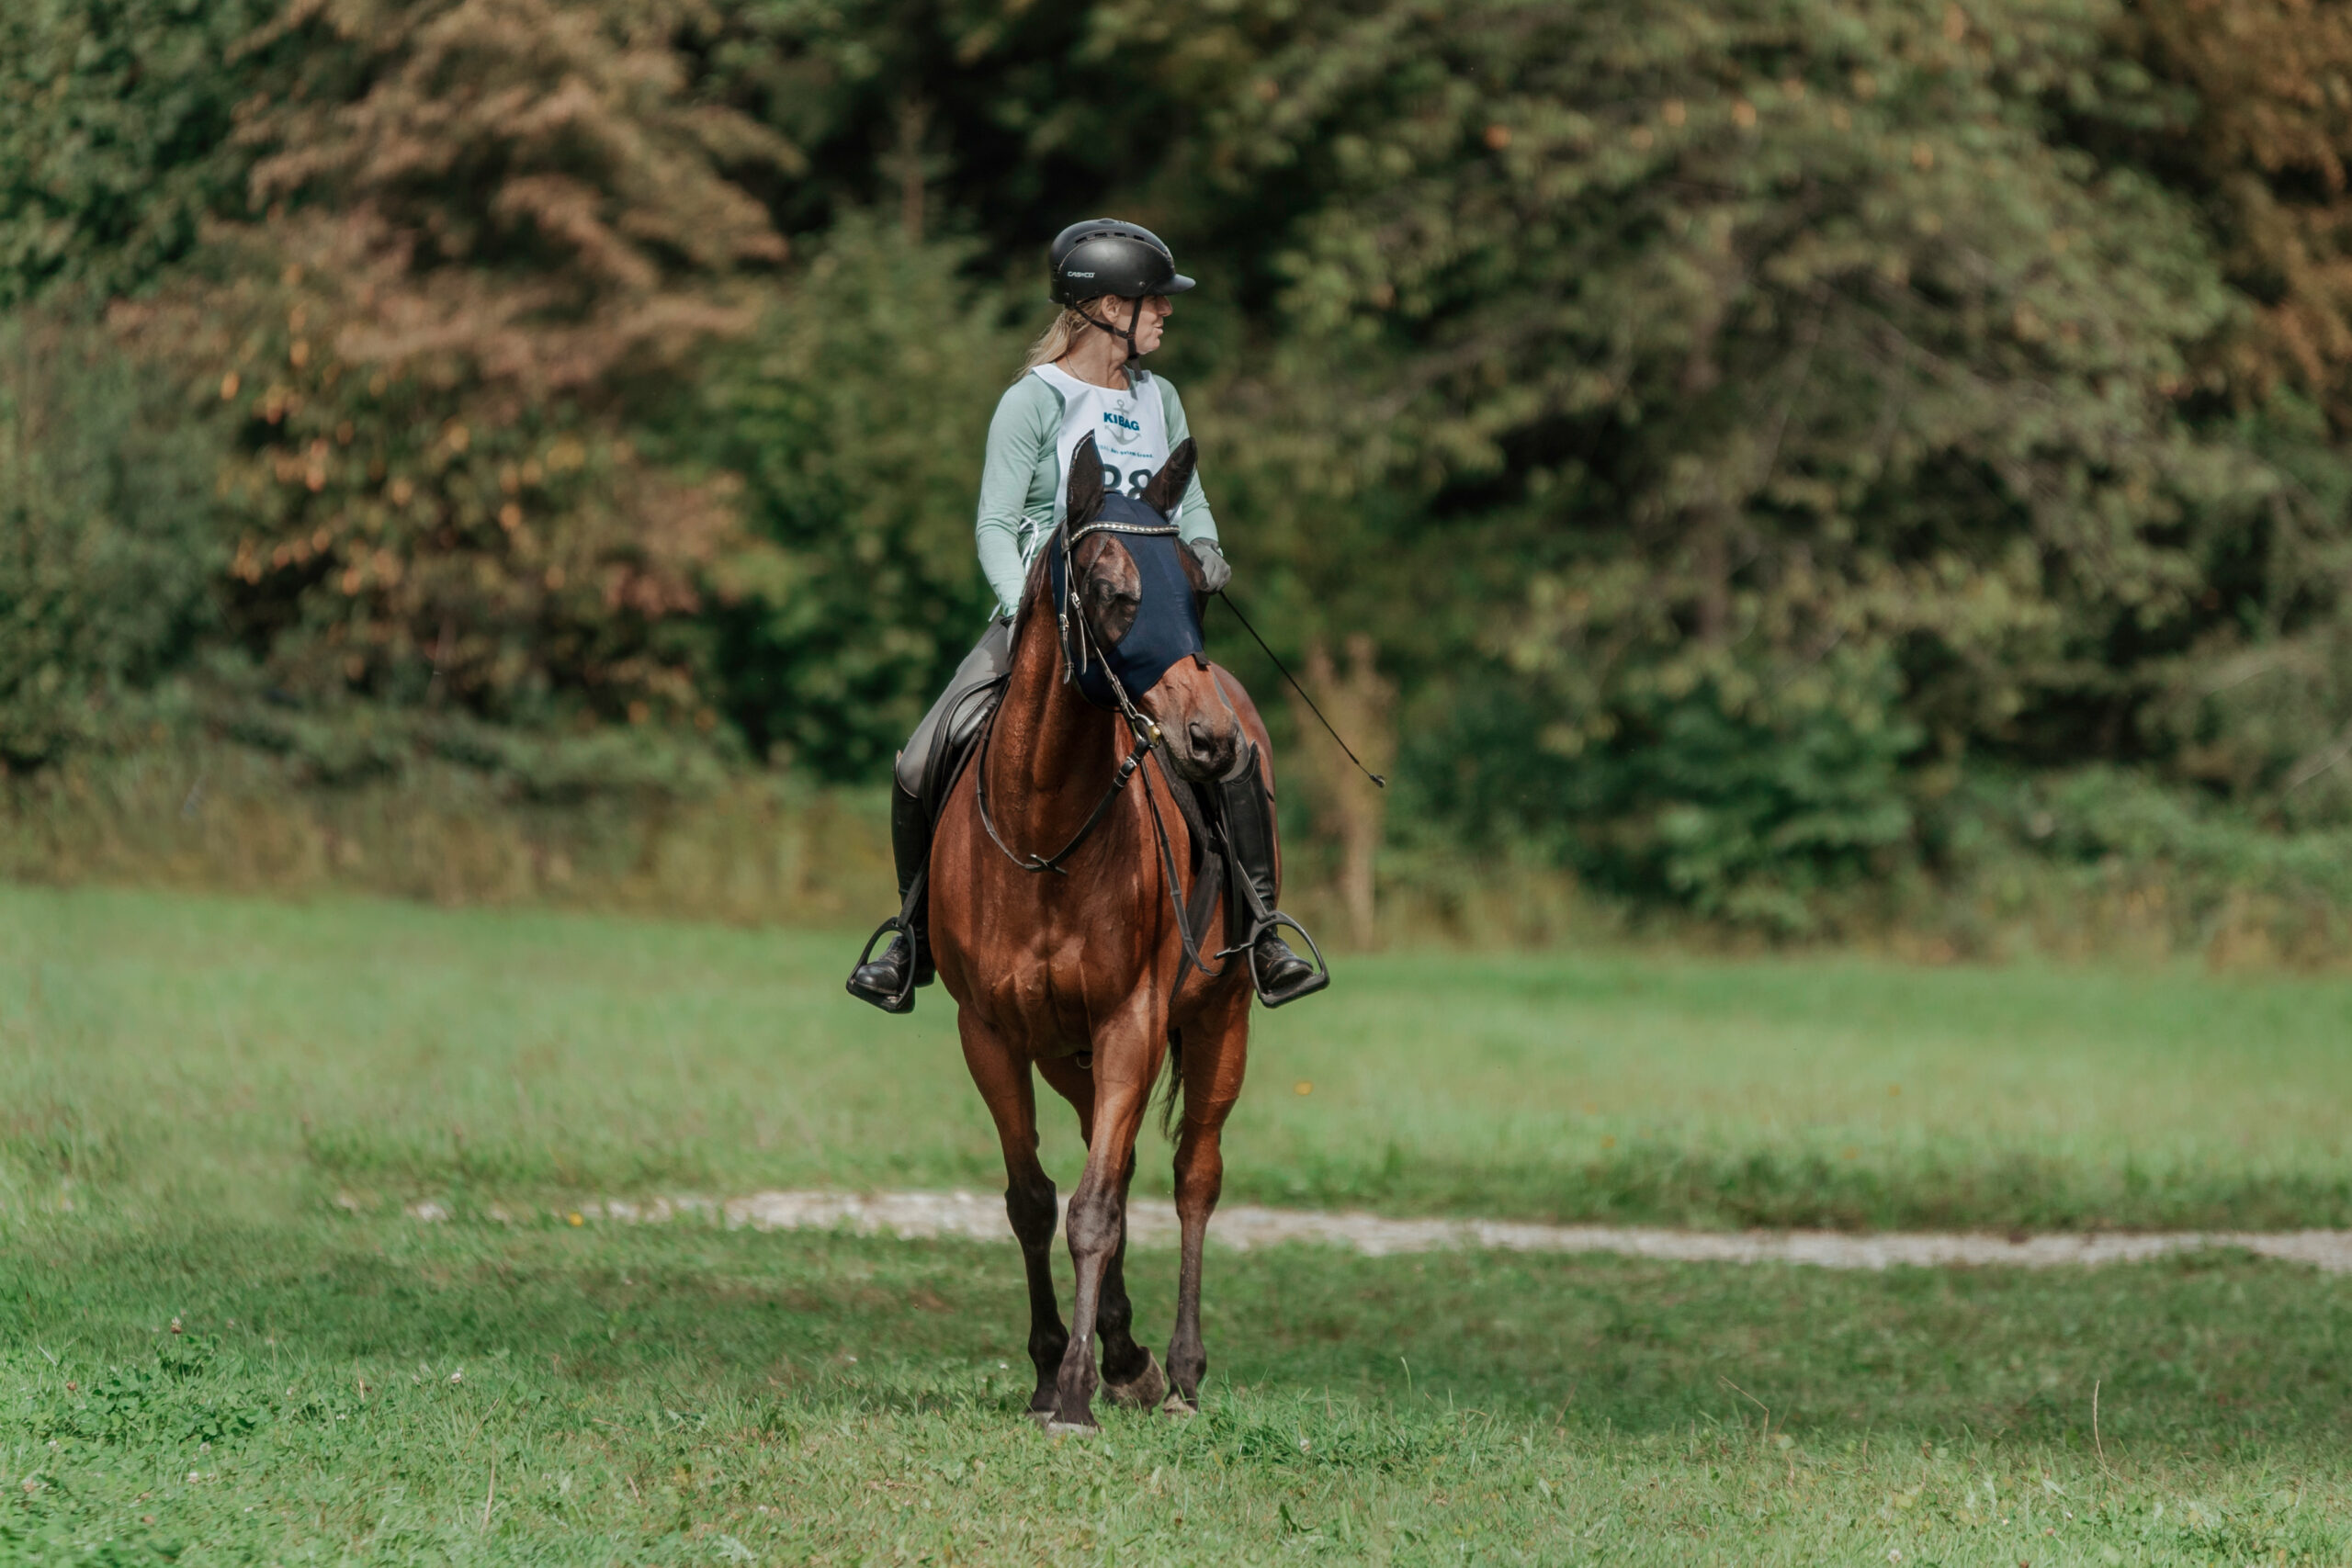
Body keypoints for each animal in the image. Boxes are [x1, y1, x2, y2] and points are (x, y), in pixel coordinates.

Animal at [926, 442, 1279, 1438]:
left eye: (1198, 589)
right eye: (1112, 589)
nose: (1211, 741)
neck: (1044, 829)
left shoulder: (1133, 1020)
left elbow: (1096, 1207)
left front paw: (1080, 1390)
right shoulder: (991, 1035)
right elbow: (1035, 1201)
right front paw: (1059, 1367)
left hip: (1218, 1022)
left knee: (1194, 1174)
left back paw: (1180, 1369)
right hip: (1066, 1054)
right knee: (1109, 1163)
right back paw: (1129, 1352)